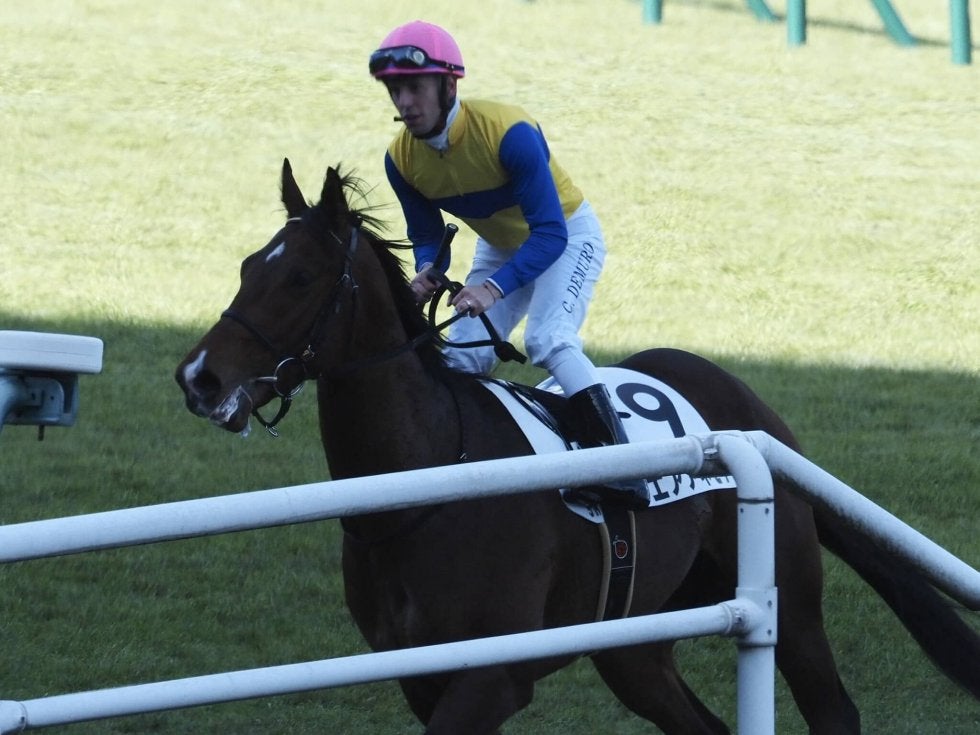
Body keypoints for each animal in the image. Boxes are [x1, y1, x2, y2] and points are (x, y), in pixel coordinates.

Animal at [175, 160, 979, 734]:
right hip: (637, 643)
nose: (198, 377)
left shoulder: (493, 676)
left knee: (833, 709)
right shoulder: (421, 674)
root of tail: (755, 412)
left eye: (300, 276)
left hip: (793, 604)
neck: (424, 485)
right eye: (248, 265)